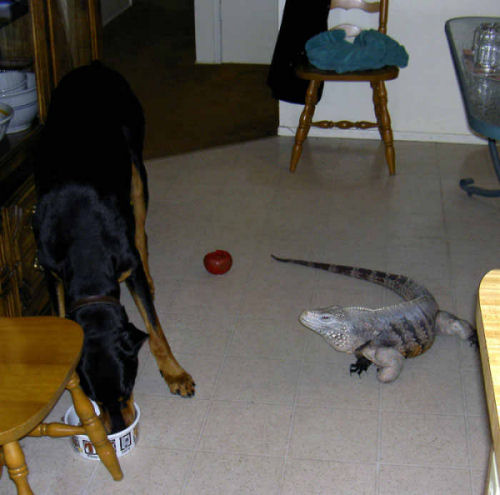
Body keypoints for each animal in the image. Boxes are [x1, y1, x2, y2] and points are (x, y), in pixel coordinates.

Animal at [33, 62, 195, 434]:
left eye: (127, 388)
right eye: (93, 396)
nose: (116, 428)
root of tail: (93, 65)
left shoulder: (127, 266)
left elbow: (155, 329)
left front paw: (175, 373)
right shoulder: (50, 270)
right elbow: (61, 316)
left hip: (136, 167)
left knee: (141, 230)